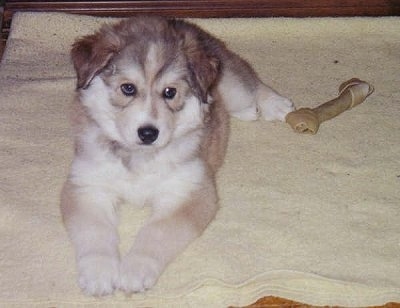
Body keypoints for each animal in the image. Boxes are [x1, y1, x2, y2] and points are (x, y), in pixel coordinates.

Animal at [61, 16, 294, 296]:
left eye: (170, 92)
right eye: (128, 88)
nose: (148, 133)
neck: (140, 156)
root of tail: (183, 22)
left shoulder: (188, 191)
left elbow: (156, 231)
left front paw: (135, 268)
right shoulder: (87, 186)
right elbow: (94, 231)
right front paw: (99, 271)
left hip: (232, 85)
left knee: (251, 82)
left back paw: (274, 104)